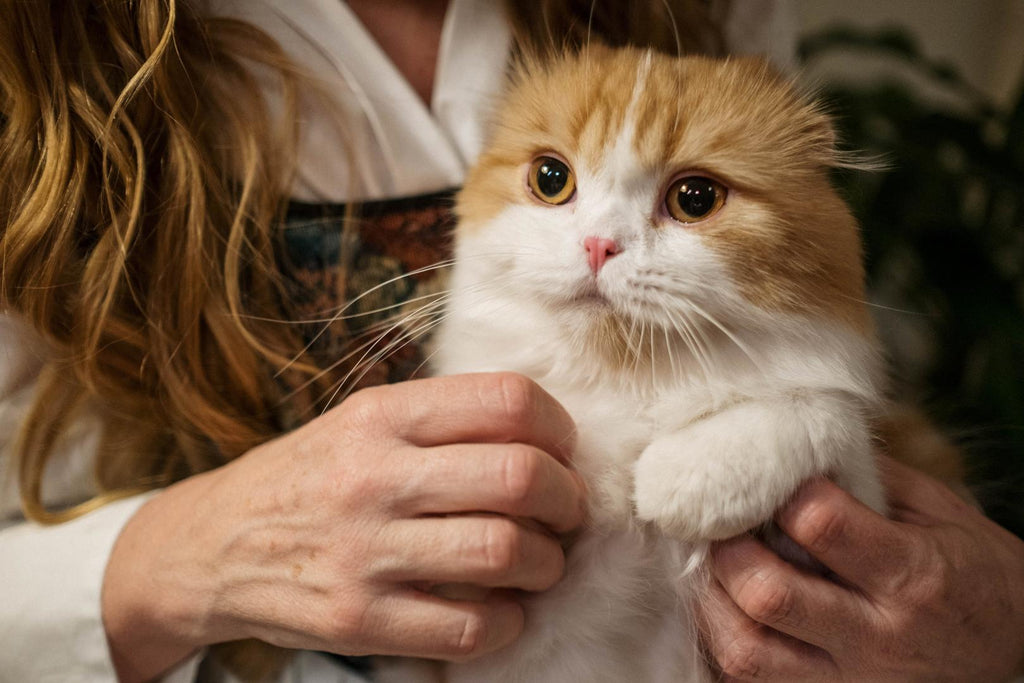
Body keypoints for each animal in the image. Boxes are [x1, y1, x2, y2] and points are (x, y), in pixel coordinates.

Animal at [378, 45, 888, 683]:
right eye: (551, 179)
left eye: (694, 199)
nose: (599, 245)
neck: (626, 384)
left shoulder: (852, 515)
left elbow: (821, 413)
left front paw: (684, 480)